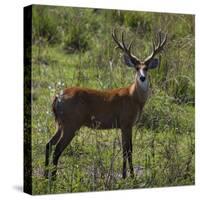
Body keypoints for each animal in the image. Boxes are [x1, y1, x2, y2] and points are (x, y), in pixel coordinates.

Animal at [44, 28, 167, 179]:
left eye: (147, 68)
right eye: (137, 68)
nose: (142, 78)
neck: (134, 97)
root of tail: (57, 97)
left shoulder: (124, 125)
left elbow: (127, 149)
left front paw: (127, 175)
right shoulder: (126, 122)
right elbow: (127, 150)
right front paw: (129, 177)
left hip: (60, 123)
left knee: (48, 144)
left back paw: (45, 176)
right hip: (71, 124)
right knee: (57, 149)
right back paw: (53, 178)